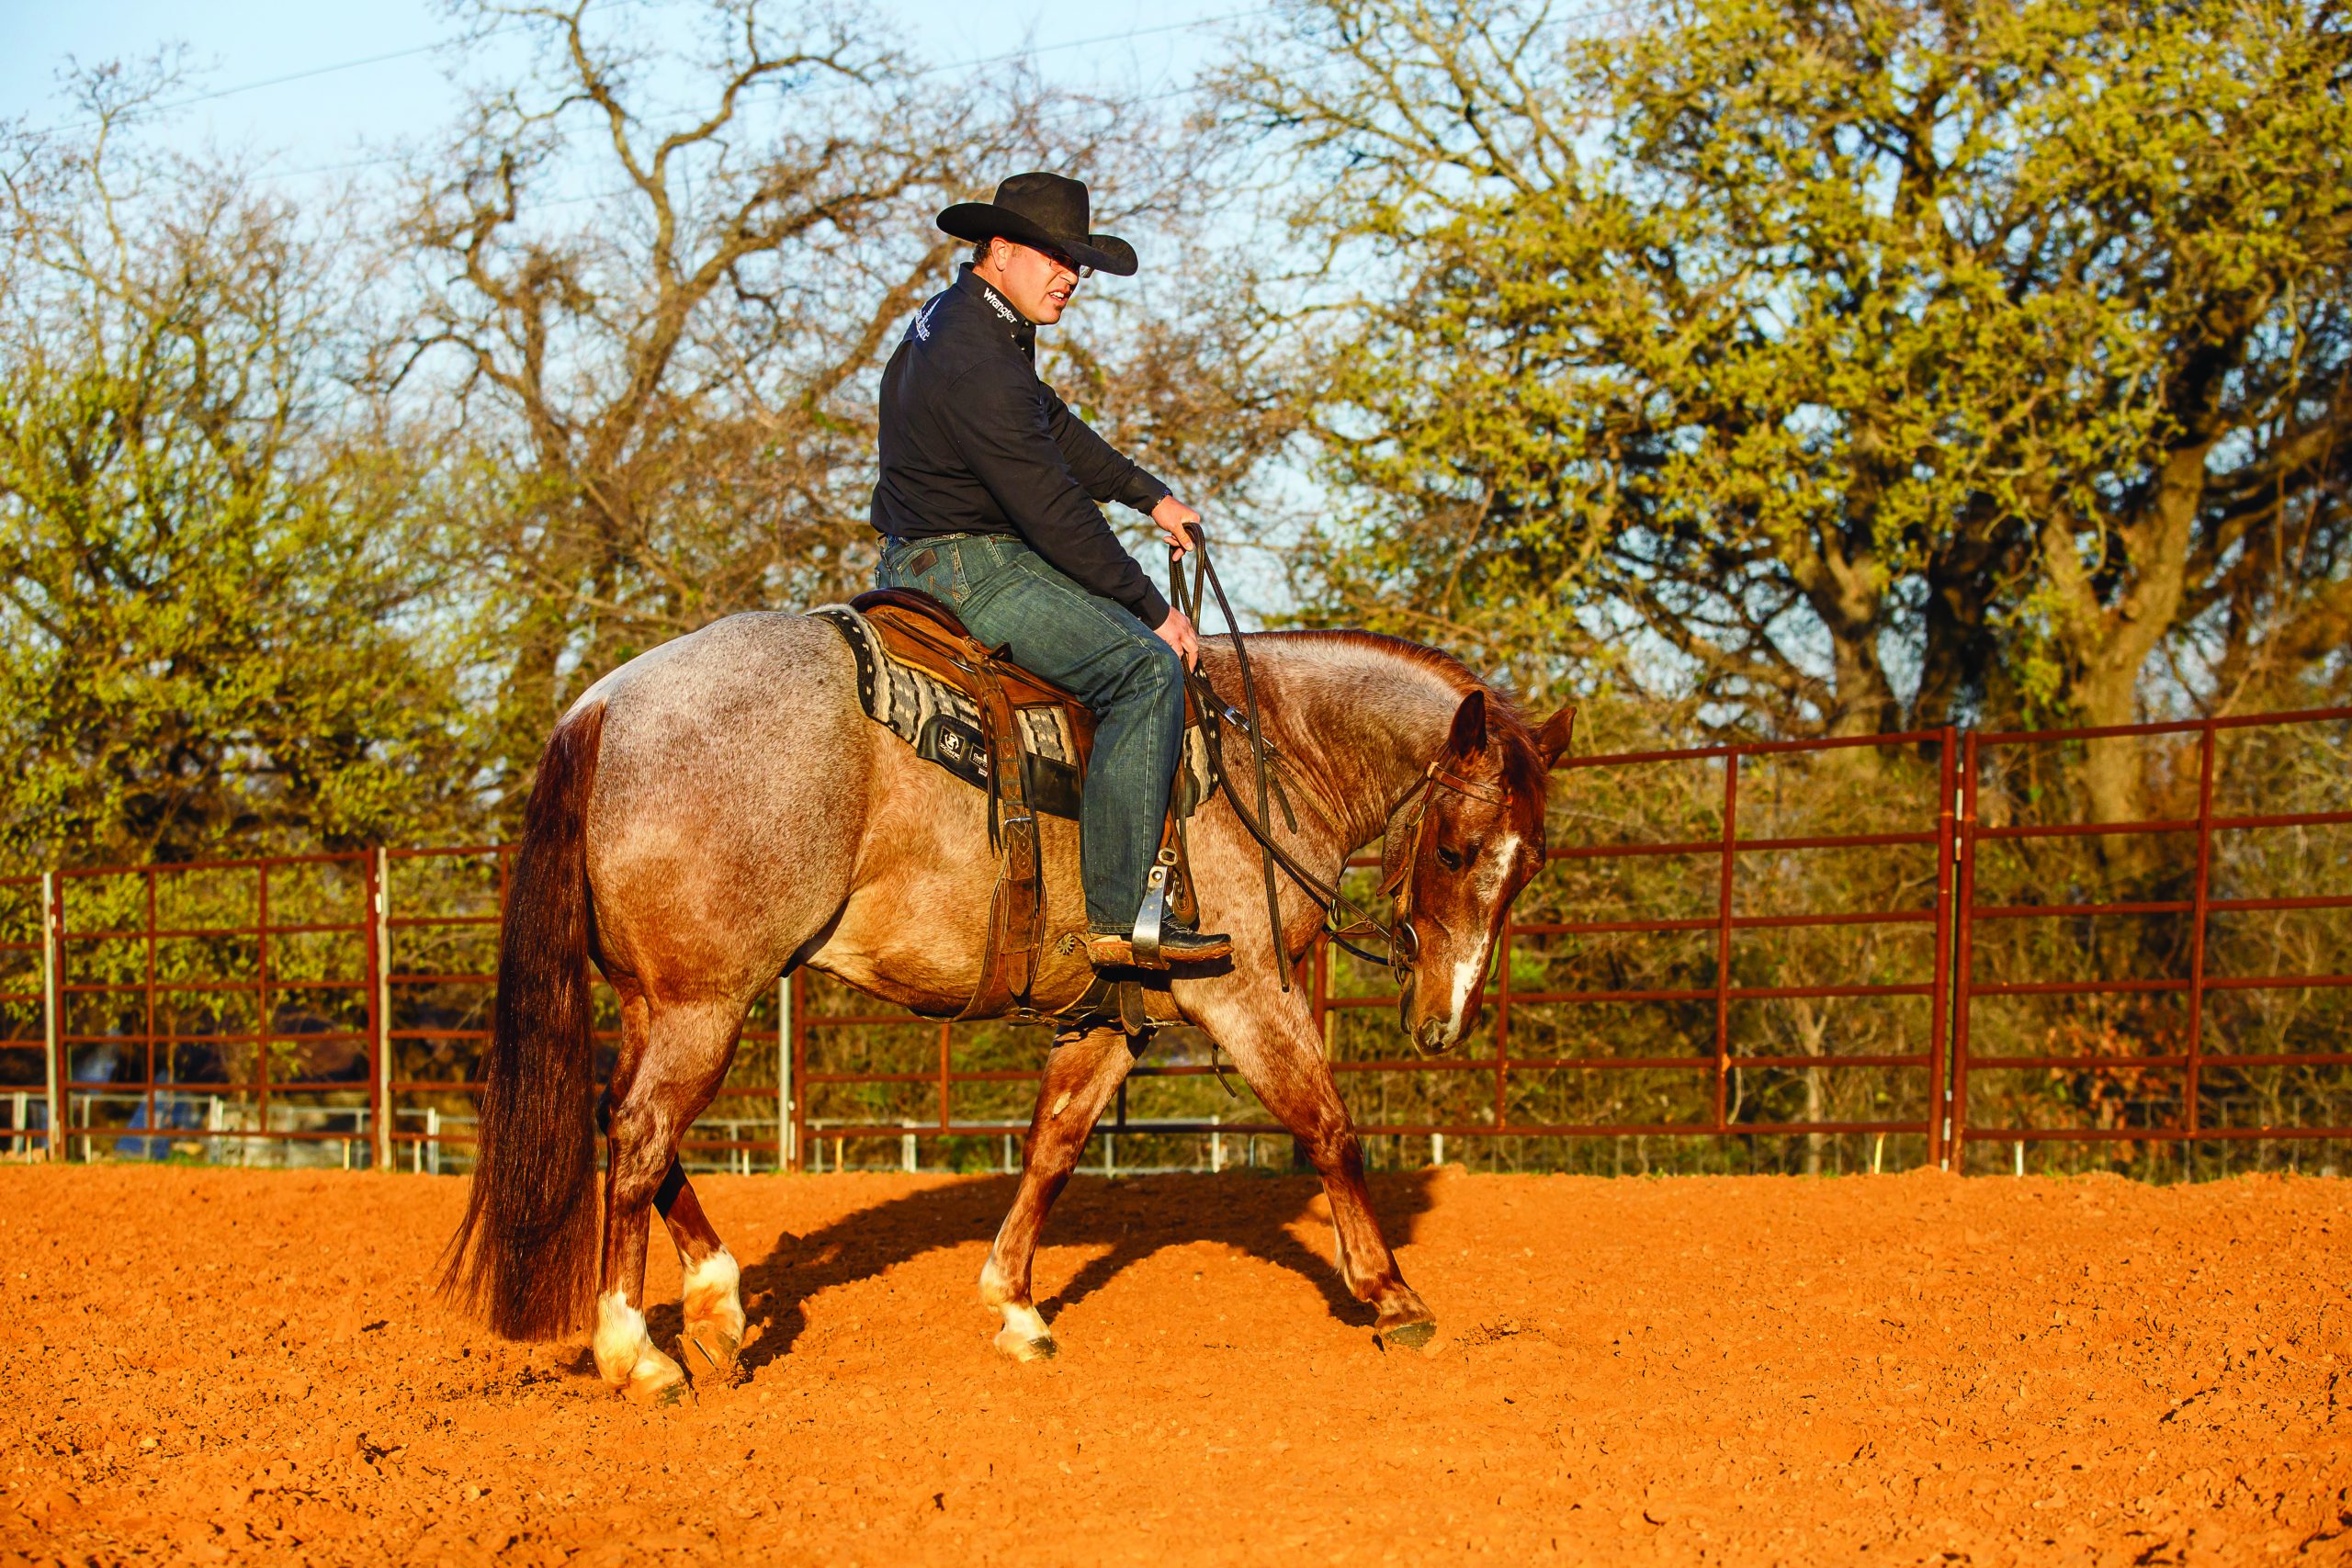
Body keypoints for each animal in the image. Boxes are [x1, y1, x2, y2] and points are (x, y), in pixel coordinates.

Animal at [440, 612, 1574, 1404]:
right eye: (1456, 850)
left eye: (1525, 867)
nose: (1440, 1020)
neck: (1268, 756)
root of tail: (604, 704)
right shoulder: (1244, 988)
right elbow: (1330, 1128)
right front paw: (1392, 1296)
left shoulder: (1118, 1011)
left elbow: (1056, 1144)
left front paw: (1016, 1306)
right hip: (703, 1002)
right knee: (638, 1136)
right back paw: (636, 1352)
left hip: (659, 1001)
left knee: (634, 1130)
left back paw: (718, 1303)